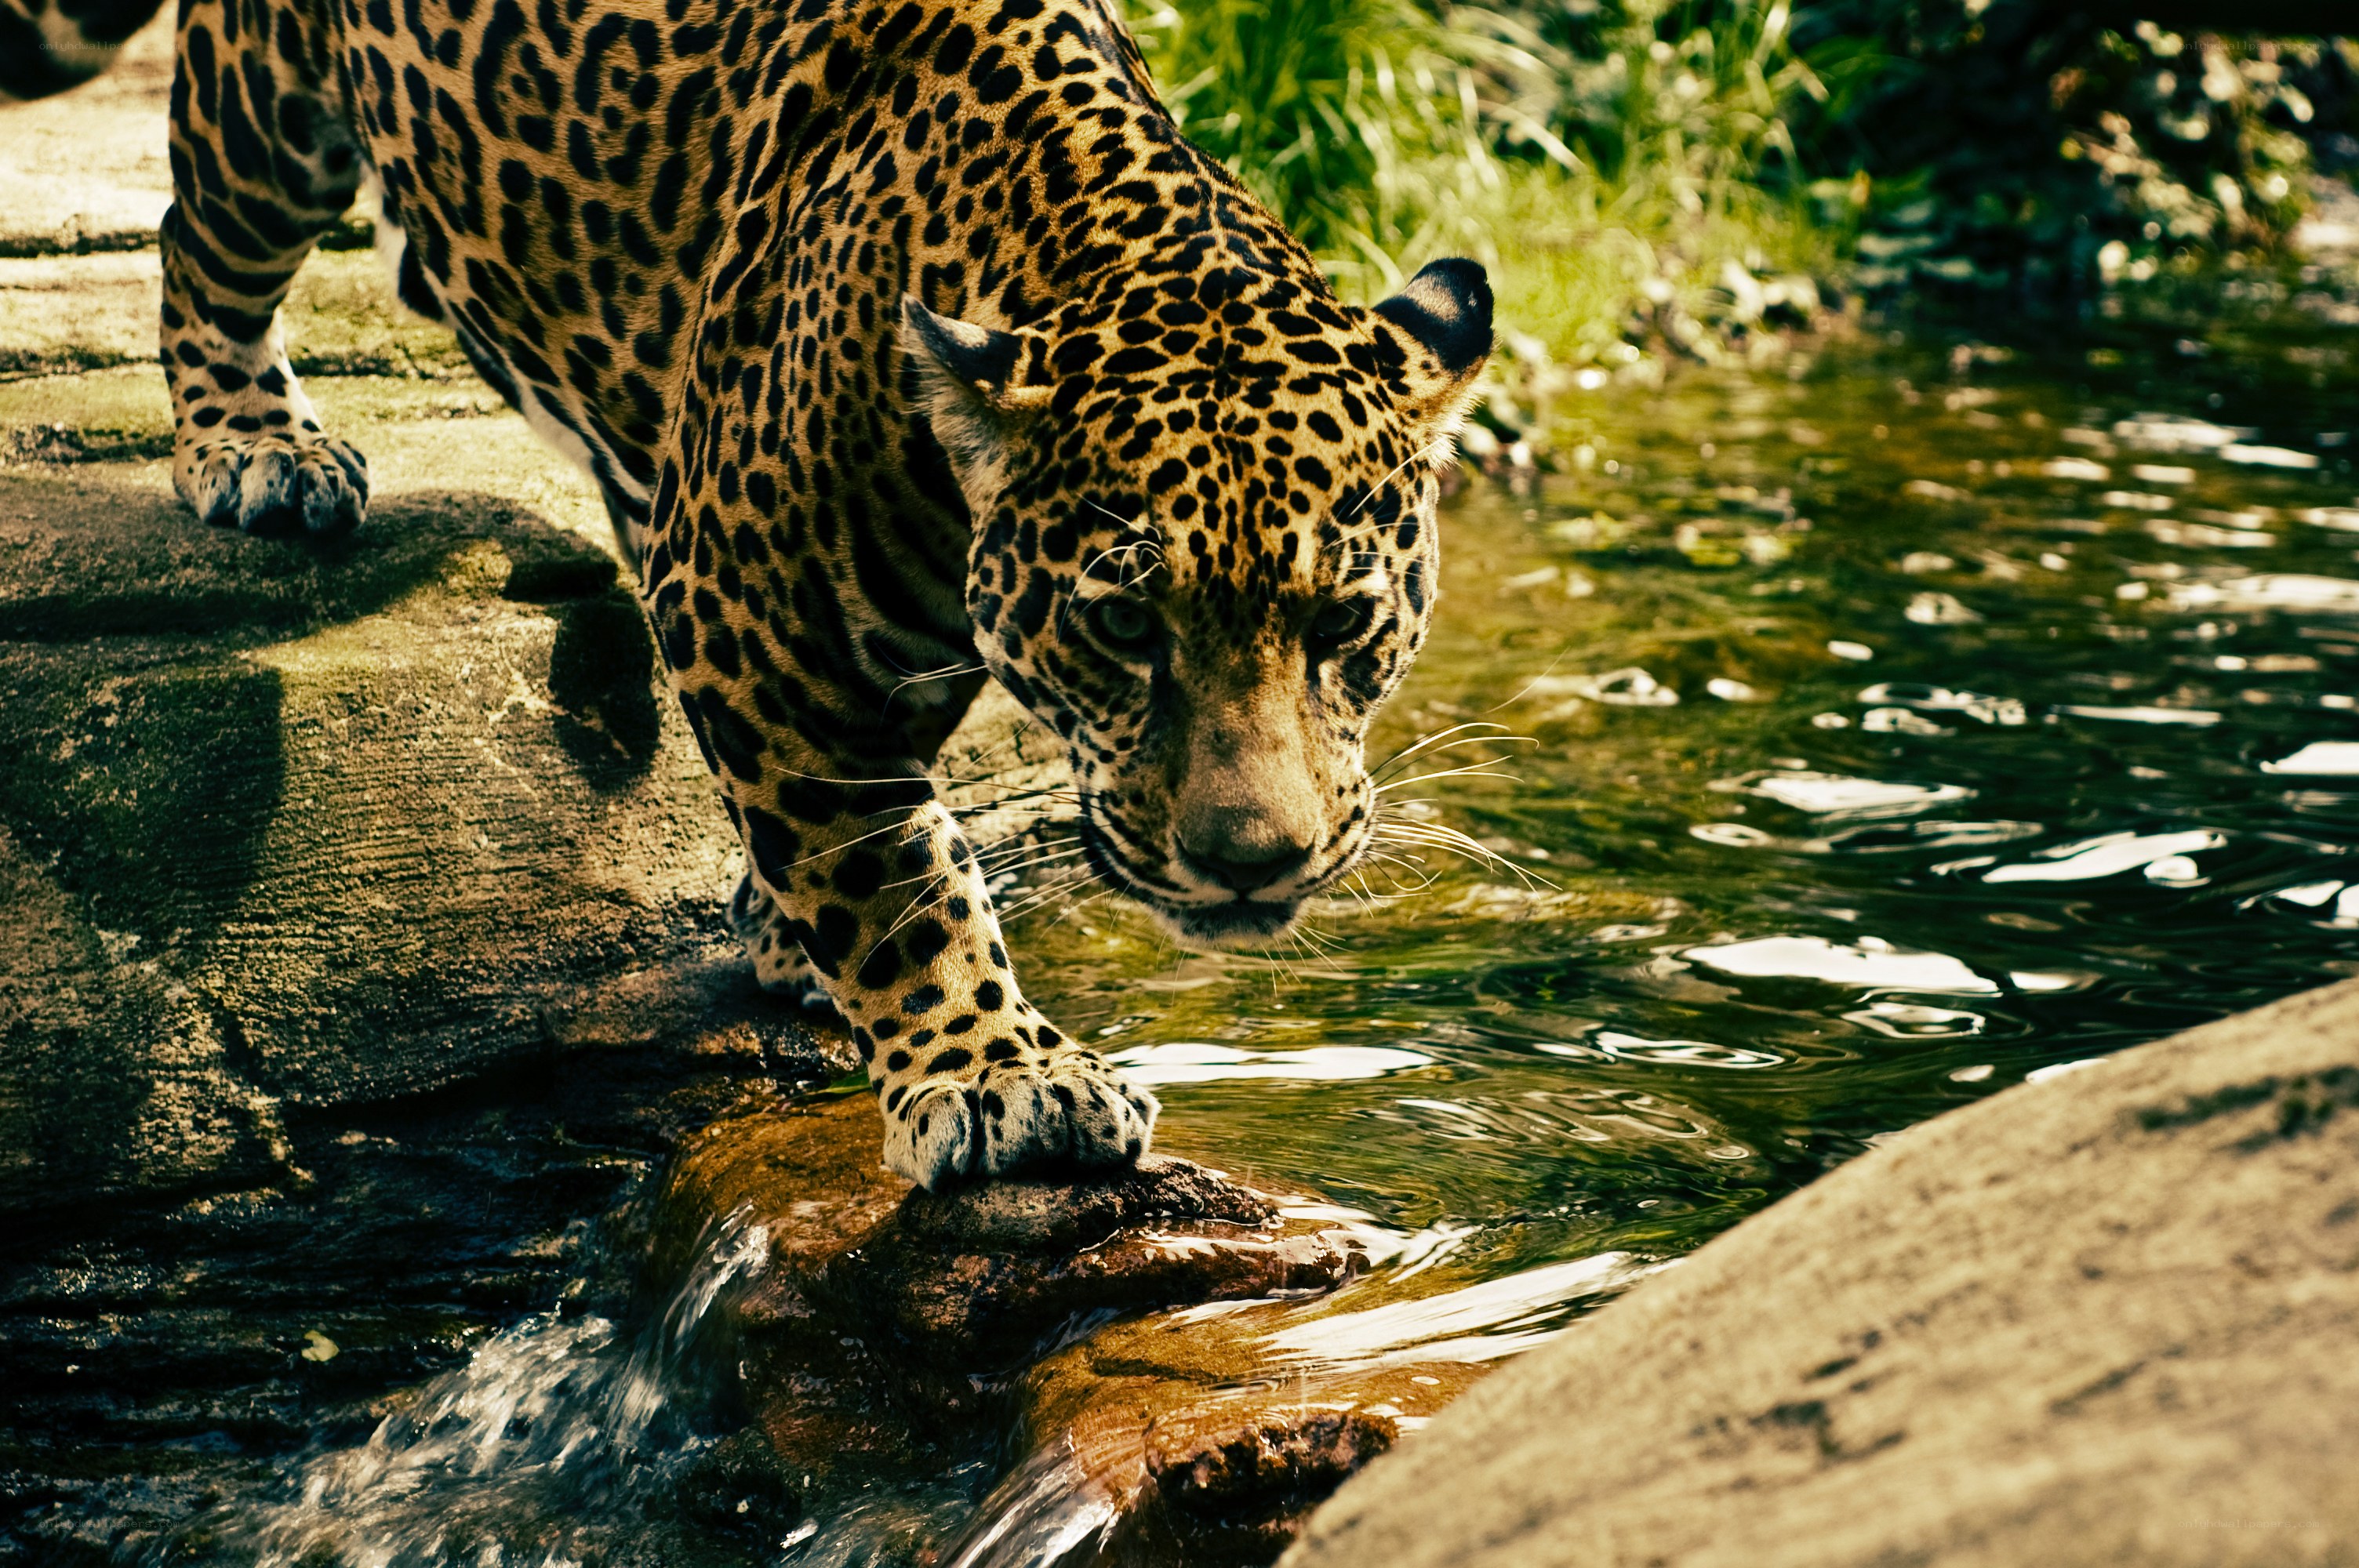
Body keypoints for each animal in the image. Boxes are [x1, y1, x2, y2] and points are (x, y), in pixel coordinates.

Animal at [5, 0, 1493, 1188]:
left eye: (1343, 626)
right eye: (1124, 625)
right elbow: (894, 863)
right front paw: (999, 1076)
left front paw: (792, 935)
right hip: (270, 108)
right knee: (200, 236)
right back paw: (253, 444)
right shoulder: (757, 607)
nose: (1252, 864)